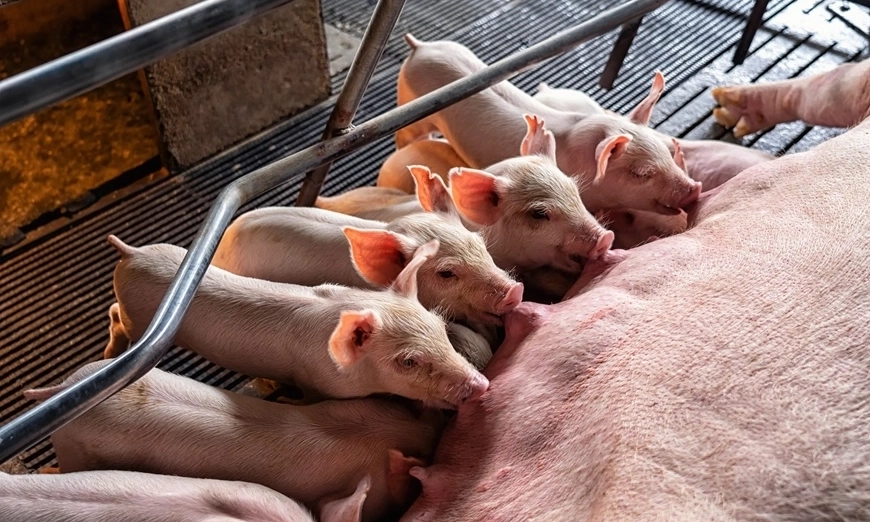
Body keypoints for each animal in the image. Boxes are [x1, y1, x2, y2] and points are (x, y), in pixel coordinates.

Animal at [105, 236, 489, 408]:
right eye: (408, 362)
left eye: (441, 328)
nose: (483, 384)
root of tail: (131, 252)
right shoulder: (316, 382)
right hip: (140, 321)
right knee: (117, 321)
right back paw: (111, 356)